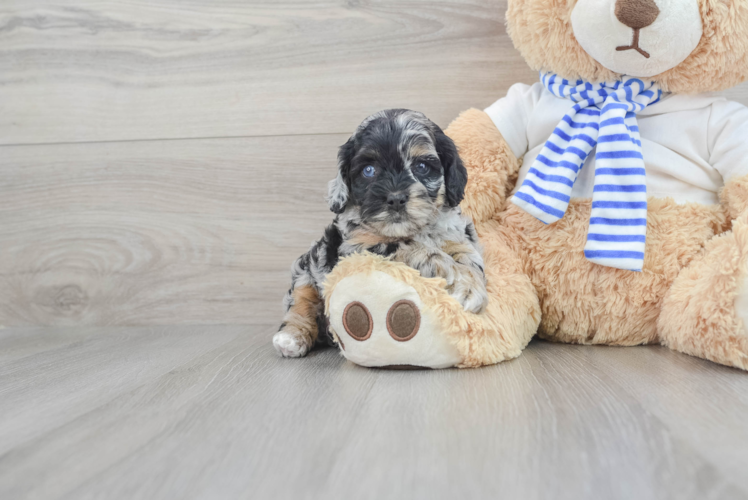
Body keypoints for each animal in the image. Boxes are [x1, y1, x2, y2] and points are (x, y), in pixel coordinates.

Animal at [272, 110, 488, 360]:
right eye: (369, 170)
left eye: (422, 166)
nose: (395, 198)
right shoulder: (356, 247)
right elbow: (412, 247)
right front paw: (457, 278)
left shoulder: (456, 235)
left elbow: (470, 259)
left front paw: (470, 285)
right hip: (307, 267)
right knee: (300, 301)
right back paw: (290, 337)